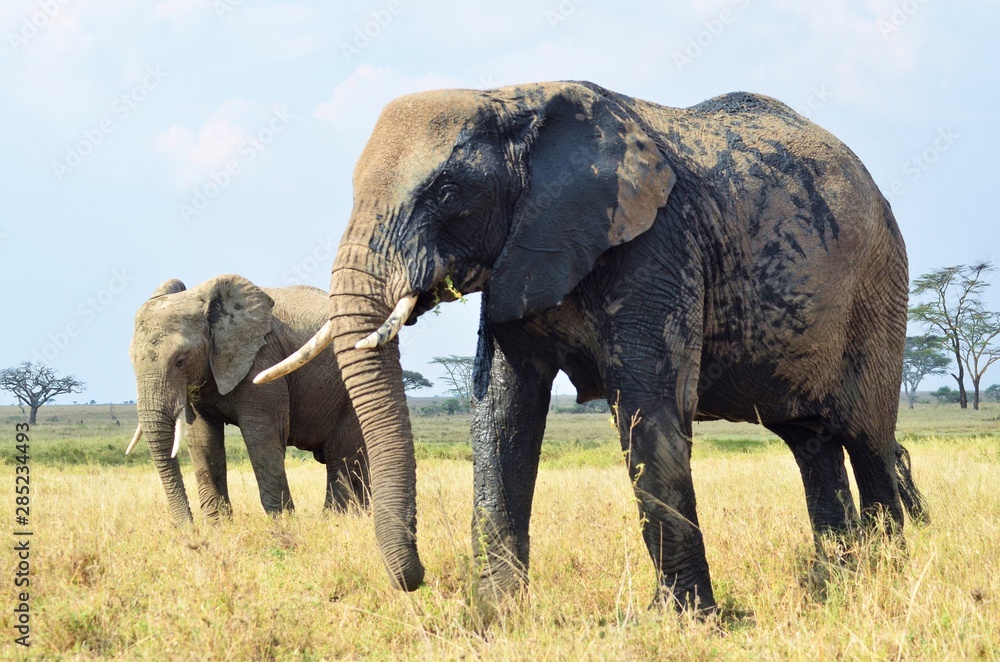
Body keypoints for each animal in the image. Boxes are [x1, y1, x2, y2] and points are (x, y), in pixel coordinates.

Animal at [129, 274, 368, 525]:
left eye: (180, 360)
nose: (188, 528)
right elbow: (203, 439)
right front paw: (218, 527)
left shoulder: (263, 357)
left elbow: (263, 435)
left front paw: (282, 524)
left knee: (341, 457)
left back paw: (335, 520)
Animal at [258, 81, 926, 611]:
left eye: (446, 193)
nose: (417, 579)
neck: (513, 97)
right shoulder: (518, 256)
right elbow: (504, 412)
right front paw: (496, 618)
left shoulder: (656, 243)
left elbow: (648, 408)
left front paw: (685, 621)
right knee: (810, 442)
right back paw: (833, 582)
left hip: (880, 284)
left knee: (866, 437)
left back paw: (886, 577)